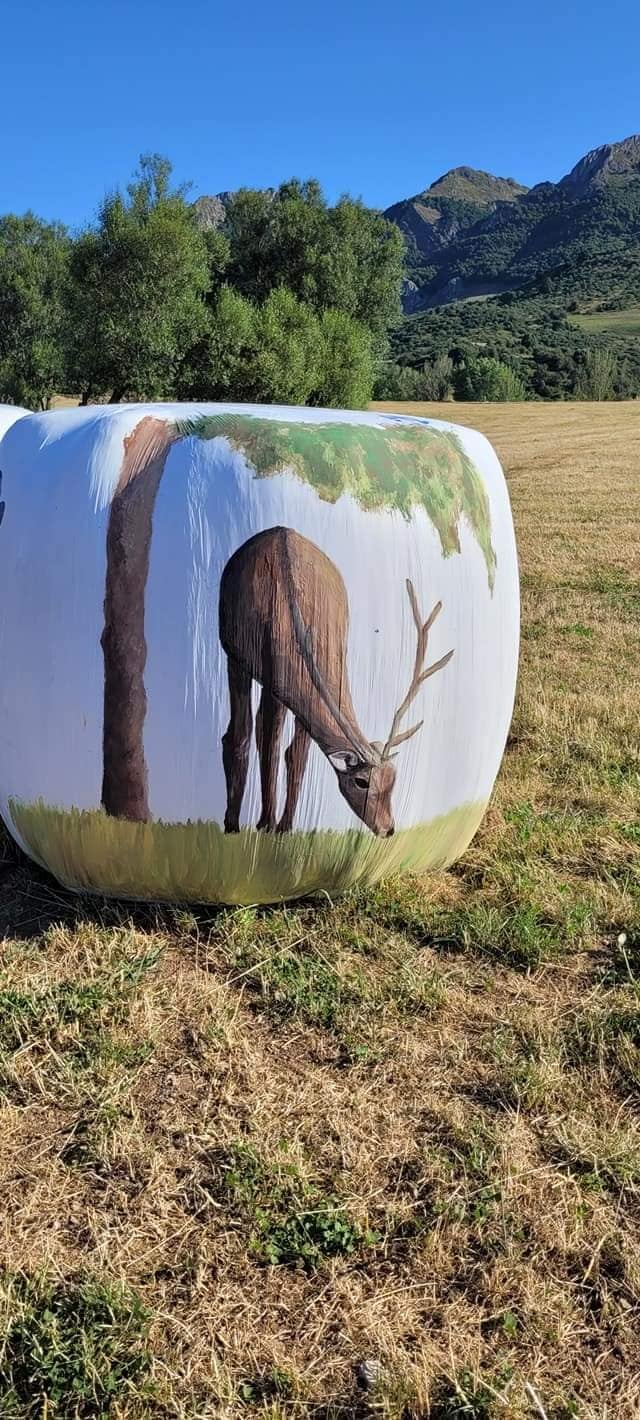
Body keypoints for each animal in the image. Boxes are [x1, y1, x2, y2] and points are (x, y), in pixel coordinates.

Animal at [218, 528, 454, 834]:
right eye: (361, 781)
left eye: (393, 778)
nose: (388, 828)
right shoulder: (268, 675)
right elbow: (266, 743)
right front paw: (263, 824)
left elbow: (296, 754)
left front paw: (285, 826)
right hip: (234, 654)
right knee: (242, 732)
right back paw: (235, 822)